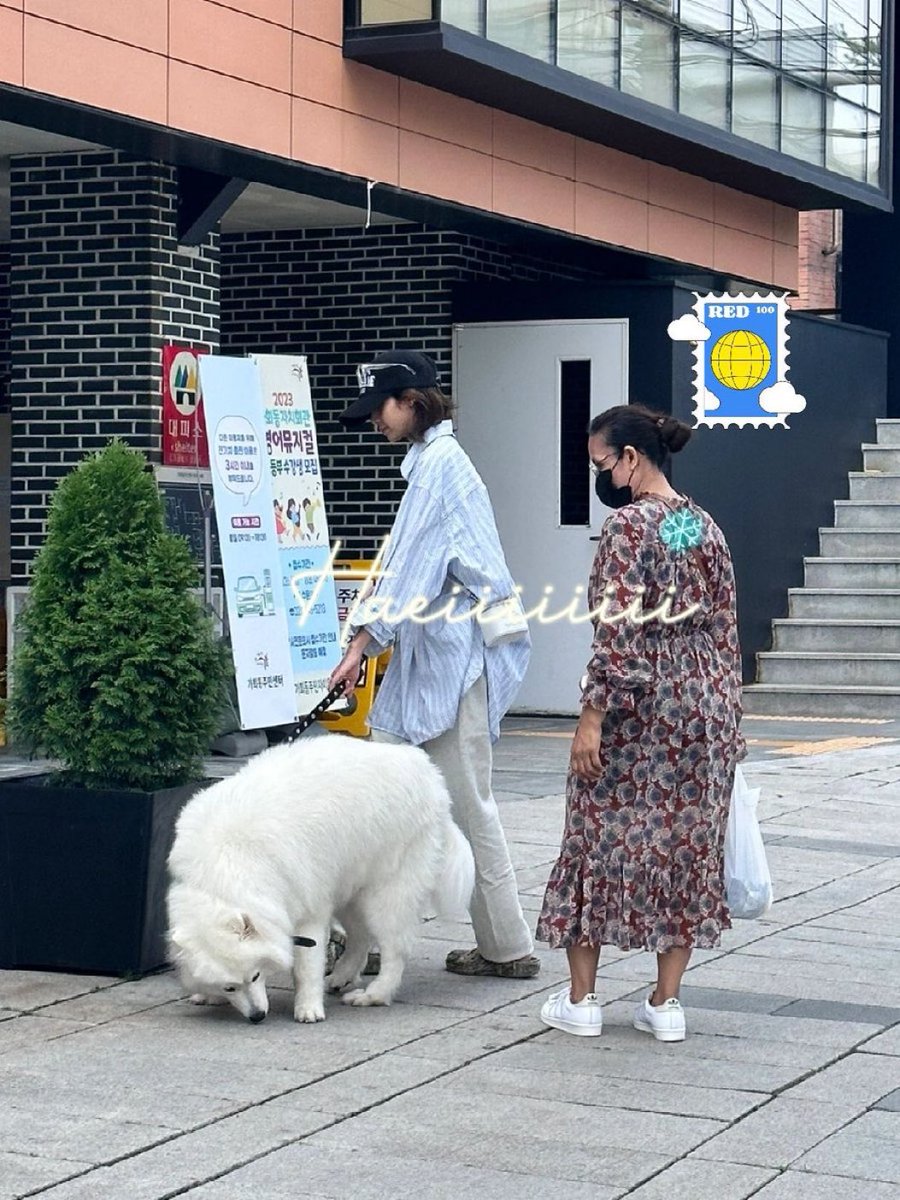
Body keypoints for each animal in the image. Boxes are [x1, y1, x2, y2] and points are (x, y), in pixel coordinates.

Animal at [168, 734, 472, 1027]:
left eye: (255, 976)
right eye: (229, 987)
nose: (257, 1016)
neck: (224, 870)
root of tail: (428, 771)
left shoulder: (308, 915)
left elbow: (306, 969)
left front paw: (308, 1009)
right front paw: (209, 996)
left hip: (385, 894)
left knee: (395, 949)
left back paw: (373, 995)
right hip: (348, 887)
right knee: (360, 937)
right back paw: (340, 977)